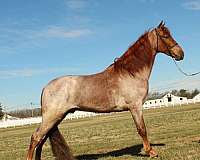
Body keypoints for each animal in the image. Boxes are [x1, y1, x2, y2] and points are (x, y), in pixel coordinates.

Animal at [27, 21, 184, 160]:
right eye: (165, 36)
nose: (181, 54)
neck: (131, 73)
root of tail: (46, 87)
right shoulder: (136, 107)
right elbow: (142, 129)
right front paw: (151, 152)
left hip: (57, 118)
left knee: (42, 139)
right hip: (52, 117)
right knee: (36, 137)